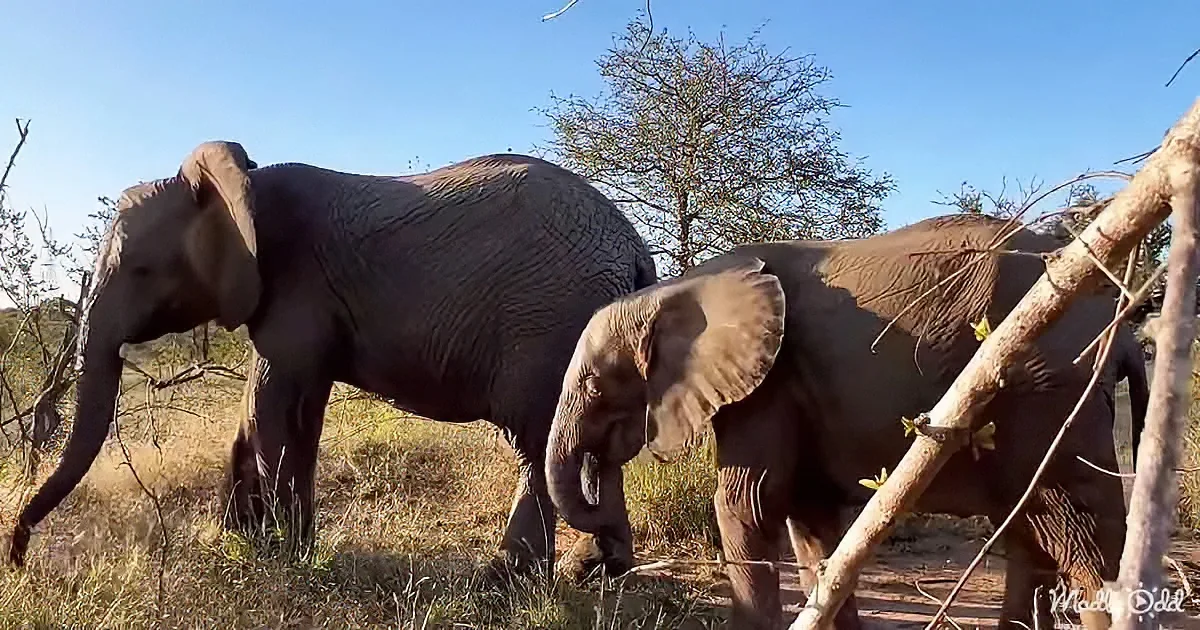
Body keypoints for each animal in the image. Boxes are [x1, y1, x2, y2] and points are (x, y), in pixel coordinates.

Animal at [7, 141, 657, 580]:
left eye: (141, 271)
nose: (17, 557)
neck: (240, 186)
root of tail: (635, 249)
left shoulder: (297, 288)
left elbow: (275, 405)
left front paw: (277, 555)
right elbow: (278, 410)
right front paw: (249, 545)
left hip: (547, 322)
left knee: (539, 440)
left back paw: (507, 578)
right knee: (593, 443)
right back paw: (597, 568)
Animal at [543, 213, 1150, 629]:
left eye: (595, 386)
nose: (597, 562)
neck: (678, 289)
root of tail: (1123, 330)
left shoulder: (770, 382)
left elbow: (746, 504)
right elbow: (812, 526)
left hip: (1049, 393)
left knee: (1082, 541)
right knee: (1035, 534)